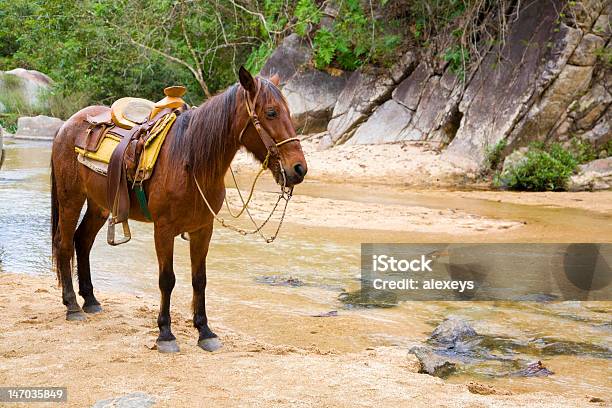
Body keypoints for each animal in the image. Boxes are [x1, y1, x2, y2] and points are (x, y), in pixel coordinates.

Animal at [49, 67, 306, 350]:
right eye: (271, 112)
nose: (299, 169)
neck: (190, 160)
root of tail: (66, 126)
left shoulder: (203, 229)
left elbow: (199, 279)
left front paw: (205, 331)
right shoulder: (163, 230)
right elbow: (167, 280)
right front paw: (165, 334)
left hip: (99, 205)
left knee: (82, 241)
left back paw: (91, 300)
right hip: (71, 199)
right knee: (64, 243)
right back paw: (72, 306)